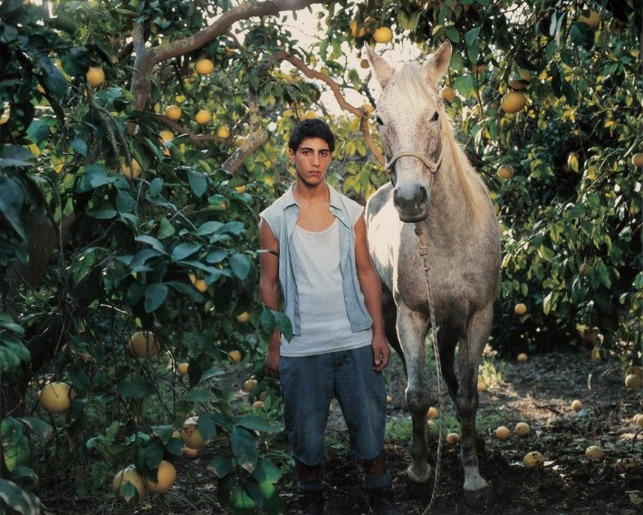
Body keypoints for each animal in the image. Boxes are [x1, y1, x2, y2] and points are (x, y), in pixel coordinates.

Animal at [364, 41, 501, 505]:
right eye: (380, 119)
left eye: (435, 115)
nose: (410, 199)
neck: (448, 238)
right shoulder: (411, 318)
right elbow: (418, 395)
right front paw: (421, 467)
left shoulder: (479, 318)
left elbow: (469, 398)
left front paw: (474, 476)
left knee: (456, 382)